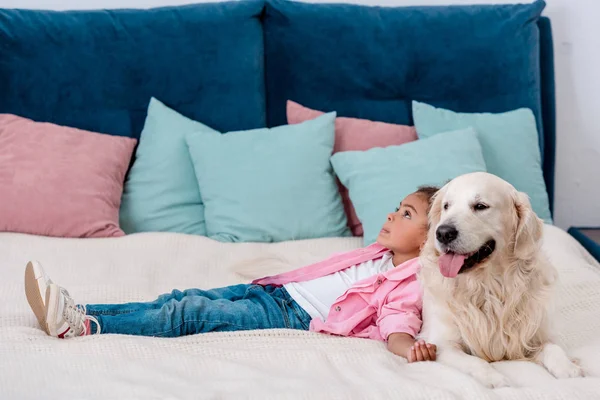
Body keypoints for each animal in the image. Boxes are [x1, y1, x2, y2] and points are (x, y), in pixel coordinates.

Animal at [420, 172, 584, 388]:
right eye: (447, 206)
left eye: (480, 206)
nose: (443, 233)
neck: (488, 287)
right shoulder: (442, 344)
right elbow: (476, 361)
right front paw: (496, 378)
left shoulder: (535, 336)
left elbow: (553, 347)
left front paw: (568, 368)